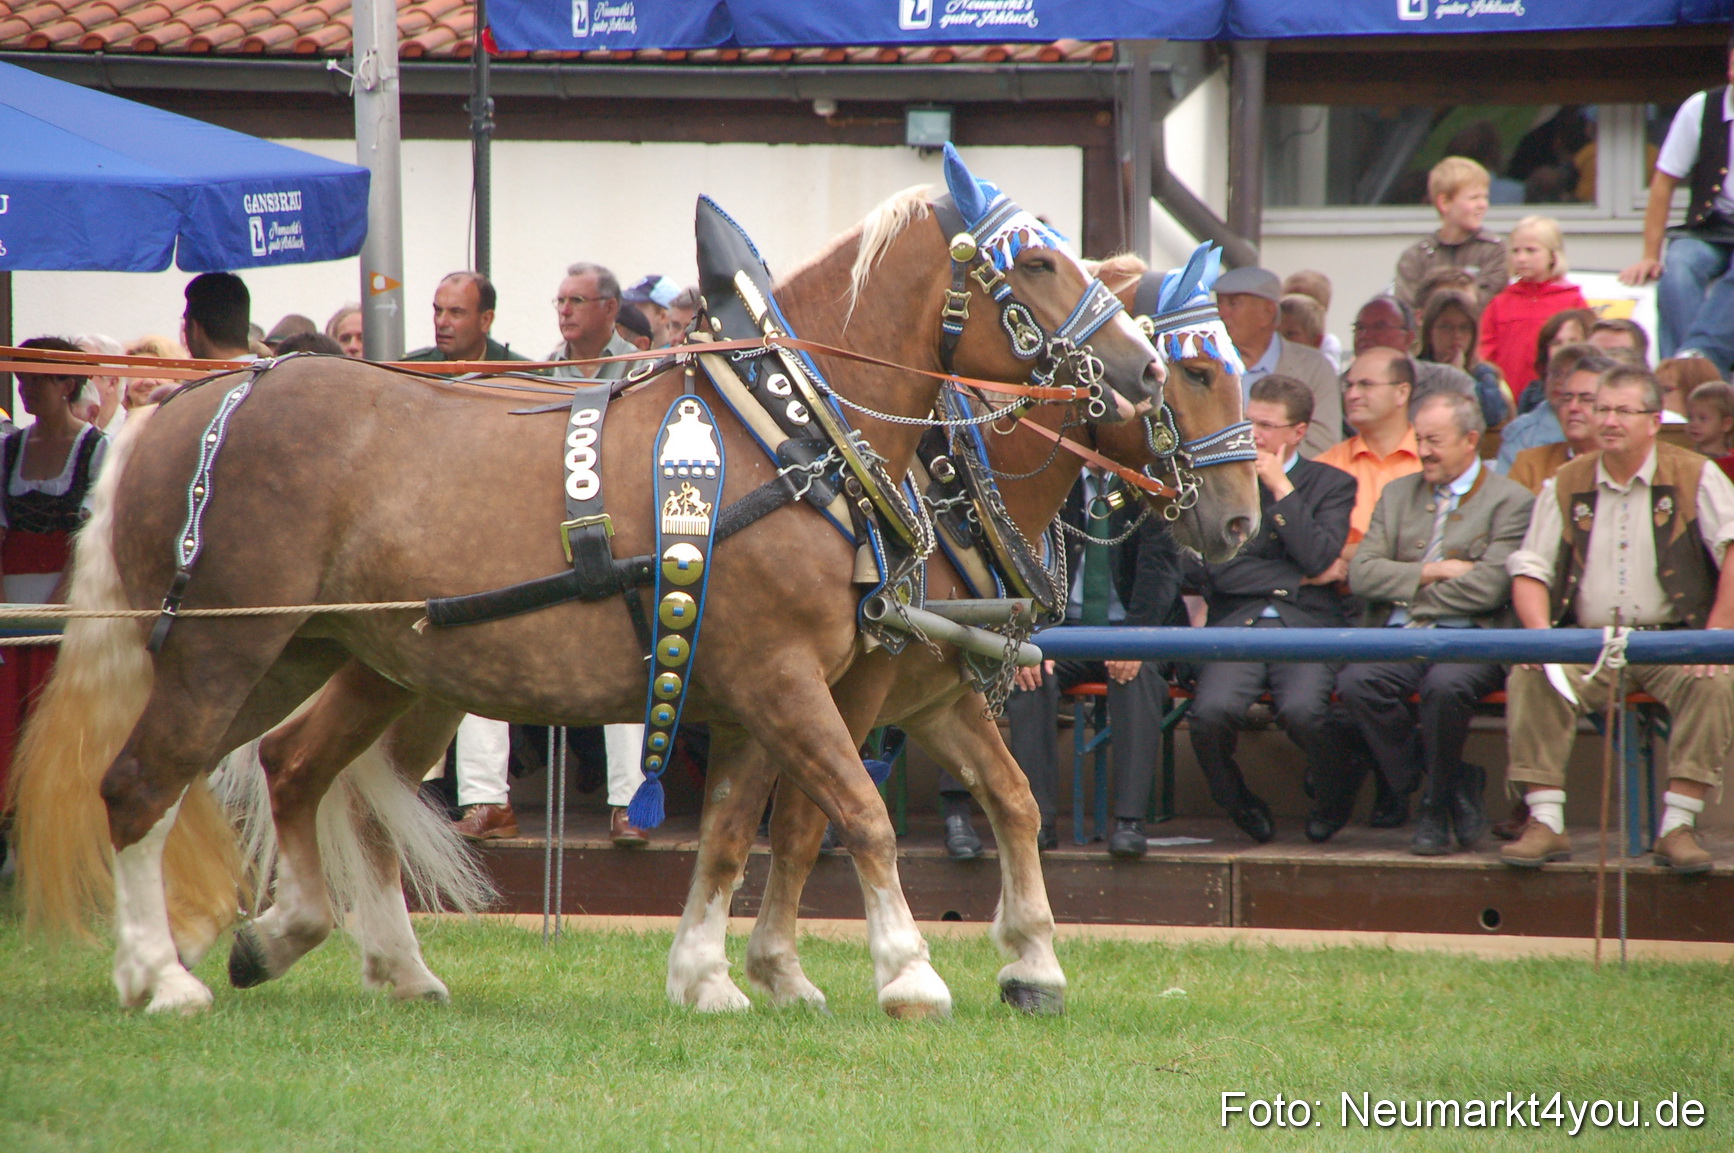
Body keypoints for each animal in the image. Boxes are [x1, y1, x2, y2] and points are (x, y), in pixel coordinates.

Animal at [9, 149, 1164, 1018]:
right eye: (1038, 261)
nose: (1144, 369)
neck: (788, 427)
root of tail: (189, 404)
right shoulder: (786, 680)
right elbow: (859, 815)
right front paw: (909, 971)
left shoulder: (748, 693)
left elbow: (736, 834)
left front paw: (709, 977)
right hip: (223, 646)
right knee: (141, 786)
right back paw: (160, 976)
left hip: (312, 652)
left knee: (285, 770)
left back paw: (326, 945)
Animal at [664, 247, 1259, 1015]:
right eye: (1196, 373)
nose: (1243, 519)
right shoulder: (829, 687)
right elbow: (803, 822)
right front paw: (783, 967)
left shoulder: (928, 695)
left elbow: (1013, 796)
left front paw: (1031, 962)